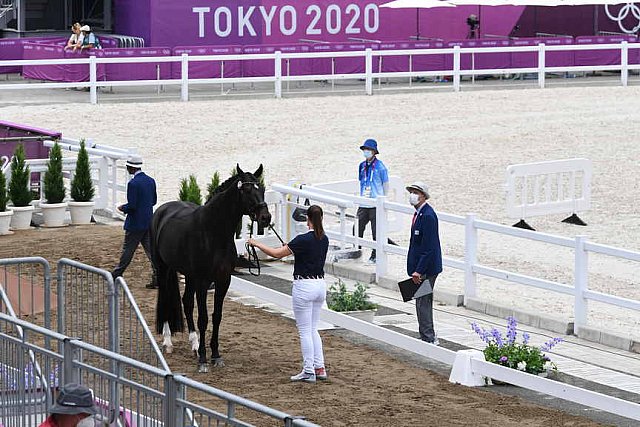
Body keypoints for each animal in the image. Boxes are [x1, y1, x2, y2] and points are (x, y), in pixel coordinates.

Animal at [154, 166, 272, 372]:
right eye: (247, 189)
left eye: (263, 189)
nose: (265, 217)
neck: (212, 232)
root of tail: (162, 210)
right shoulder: (203, 281)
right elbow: (203, 319)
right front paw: (203, 359)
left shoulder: (223, 280)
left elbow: (217, 317)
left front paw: (215, 355)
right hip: (163, 268)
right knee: (166, 299)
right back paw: (168, 342)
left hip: (189, 275)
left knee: (186, 302)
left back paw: (194, 344)